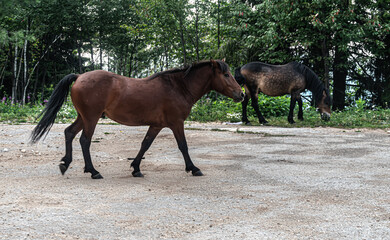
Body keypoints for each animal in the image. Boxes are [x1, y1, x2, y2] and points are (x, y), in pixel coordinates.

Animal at [30, 61, 244, 179]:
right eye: (226, 74)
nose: (241, 94)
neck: (178, 87)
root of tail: (80, 76)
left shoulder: (156, 125)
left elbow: (145, 145)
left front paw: (136, 168)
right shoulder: (176, 123)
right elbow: (183, 146)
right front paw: (193, 168)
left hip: (83, 117)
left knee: (69, 133)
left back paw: (65, 164)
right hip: (91, 118)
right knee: (84, 140)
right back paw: (93, 171)